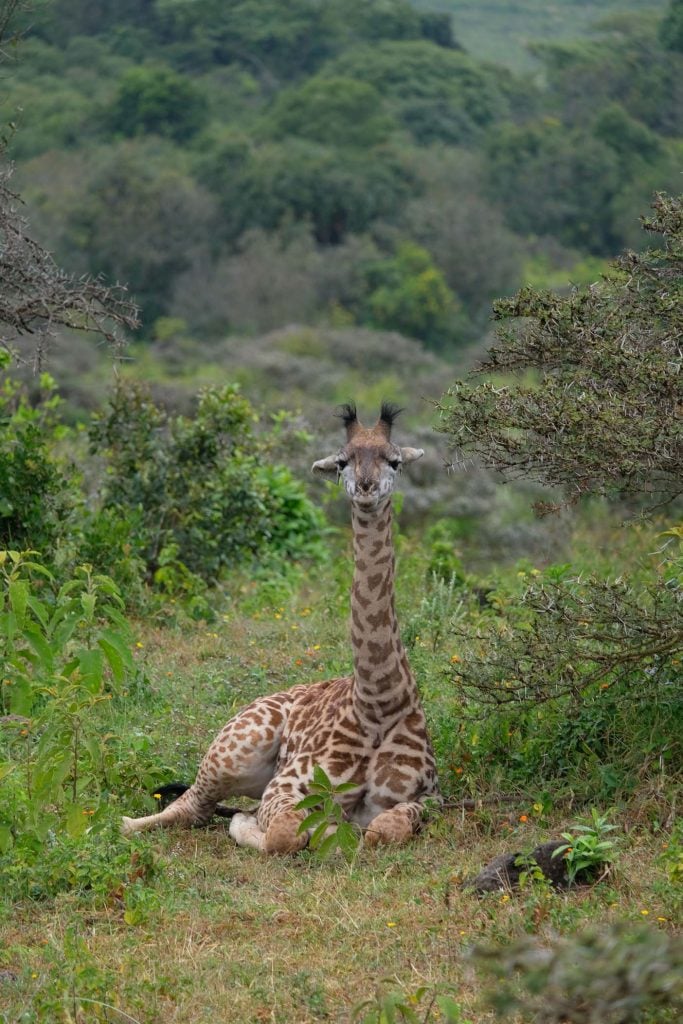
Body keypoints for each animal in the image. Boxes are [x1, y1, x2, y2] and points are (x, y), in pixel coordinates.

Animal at [121, 403, 444, 851]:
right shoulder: (286, 785)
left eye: (394, 461)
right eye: (342, 461)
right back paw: (130, 823)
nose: (365, 487)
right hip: (234, 750)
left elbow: (385, 830)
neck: (378, 704)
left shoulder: (428, 797)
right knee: (191, 807)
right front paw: (275, 827)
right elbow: (287, 833)